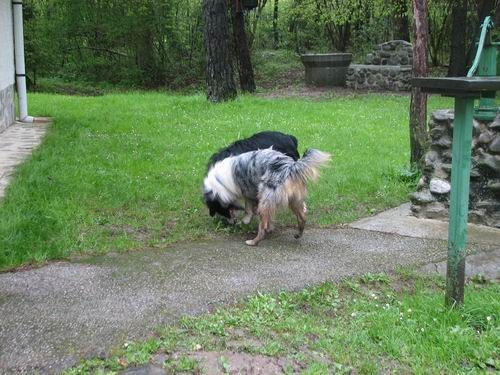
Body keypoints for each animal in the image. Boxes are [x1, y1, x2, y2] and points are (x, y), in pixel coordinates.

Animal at [201, 147, 330, 247]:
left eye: (216, 208)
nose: (231, 222)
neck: (219, 182)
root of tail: (289, 167)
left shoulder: (248, 192)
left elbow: (248, 209)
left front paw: (245, 221)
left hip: (265, 201)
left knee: (263, 226)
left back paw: (253, 242)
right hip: (294, 200)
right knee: (302, 218)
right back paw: (298, 234)